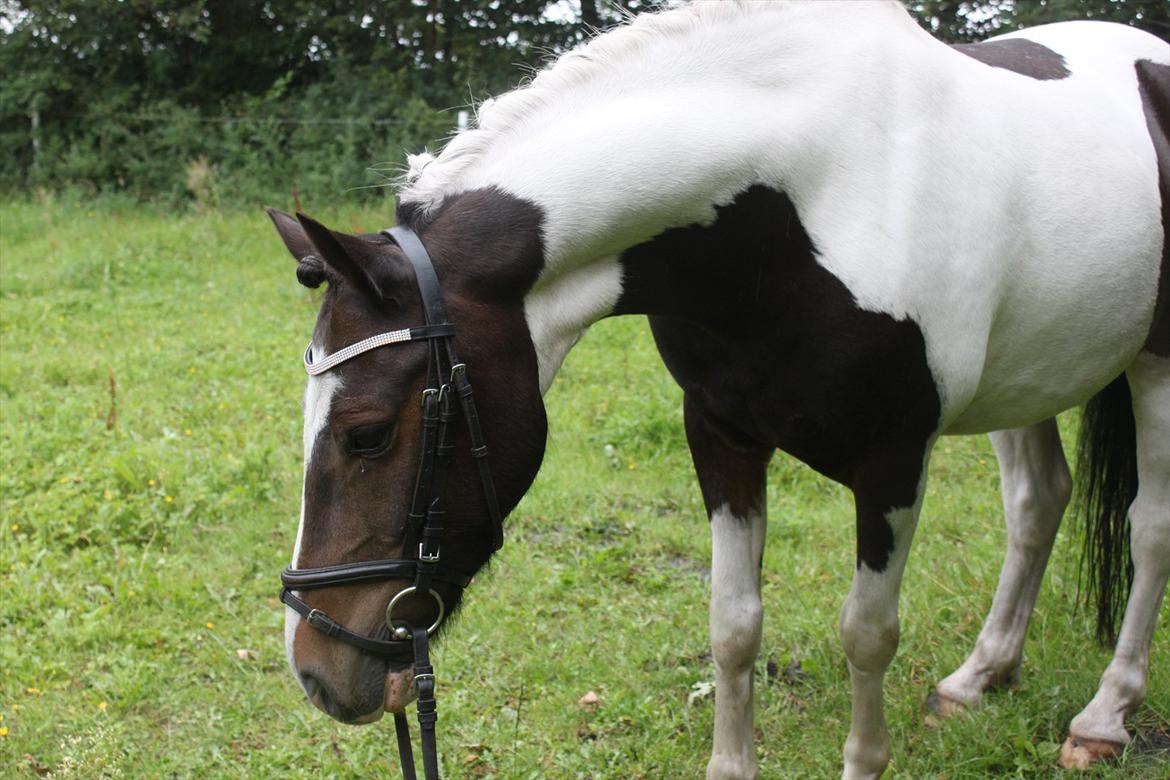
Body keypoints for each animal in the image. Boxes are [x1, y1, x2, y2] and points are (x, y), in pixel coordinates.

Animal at [267, 3, 1170, 776]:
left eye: (368, 433)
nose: (316, 670)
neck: (802, 198)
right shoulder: (721, 435)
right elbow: (734, 626)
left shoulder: (894, 462)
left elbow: (866, 634)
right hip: (1026, 378)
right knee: (1038, 503)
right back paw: (982, 674)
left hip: (1154, 369)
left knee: (1148, 530)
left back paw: (1103, 718)